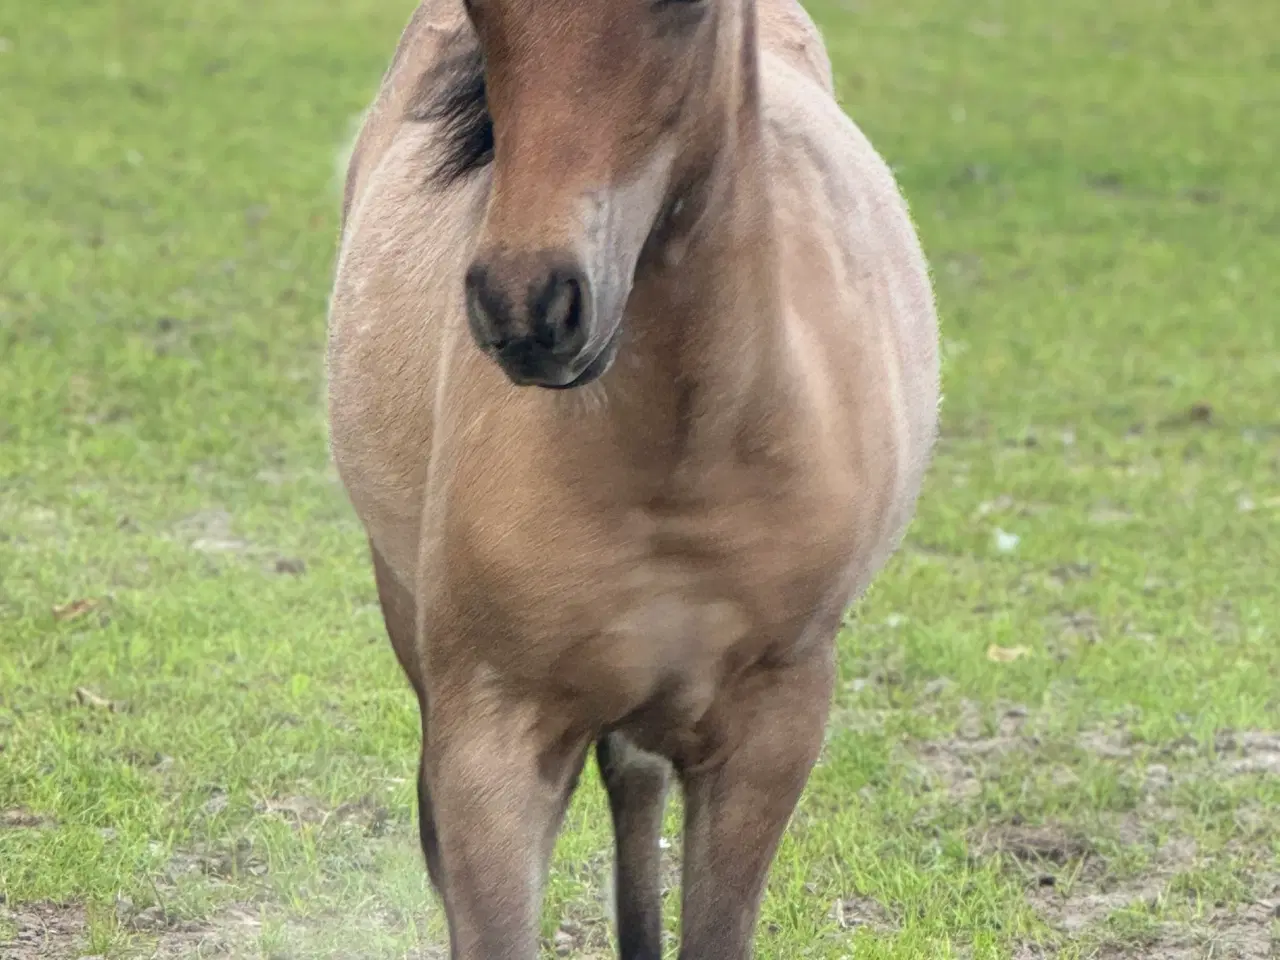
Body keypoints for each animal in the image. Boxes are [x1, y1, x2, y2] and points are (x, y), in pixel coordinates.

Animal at [325, 0, 936, 957]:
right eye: (481, 12)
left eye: (686, 10)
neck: (677, 461)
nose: (528, 305)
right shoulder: (493, 739)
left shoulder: (774, 729)